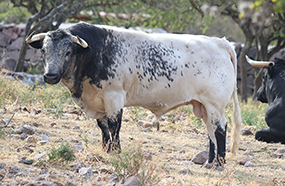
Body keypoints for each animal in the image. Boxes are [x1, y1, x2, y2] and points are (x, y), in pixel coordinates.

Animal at [25, 22, 241, 168]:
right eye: (44, 50)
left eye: (68, 51)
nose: (50, 76)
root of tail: (220, 43)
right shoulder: (99, 103)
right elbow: (103, 128)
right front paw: (106, 150)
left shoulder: (114, 97)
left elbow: (114, 126)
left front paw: (116, 152)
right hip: (203, 106)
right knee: (211, 131)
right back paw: (210, 162)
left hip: (215, 104)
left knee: (220, 129)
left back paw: (220, 163)